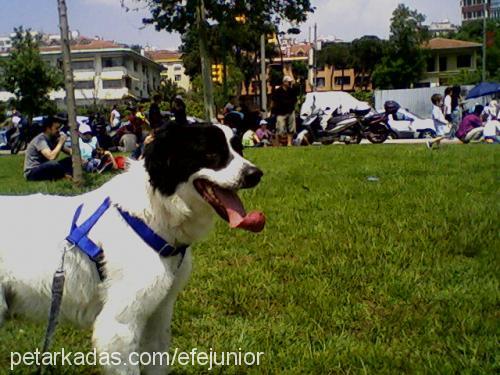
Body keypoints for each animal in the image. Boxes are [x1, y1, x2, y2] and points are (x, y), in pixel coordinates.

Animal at [0, 122, 266, 374]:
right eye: (211, 153)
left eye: (238, 148)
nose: (256, 174)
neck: (154, 215)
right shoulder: (118, 327)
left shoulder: (159, 313)